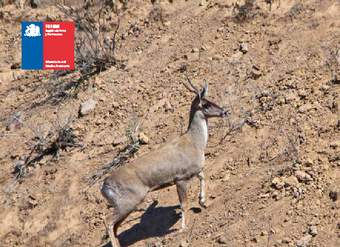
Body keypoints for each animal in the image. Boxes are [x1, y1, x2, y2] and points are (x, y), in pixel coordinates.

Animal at [101, 76, 228, 245]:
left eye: (211, 99)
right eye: (206, 104)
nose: (224, 111)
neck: (195, 142)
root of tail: (104, 186)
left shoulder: (193, 171)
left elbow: (202, 176)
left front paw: (202, 201)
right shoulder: (180, 178)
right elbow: (184, 204)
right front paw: (183, 228)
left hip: (125, 204)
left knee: (115, 226)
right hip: (128, 201)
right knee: (108, 221)